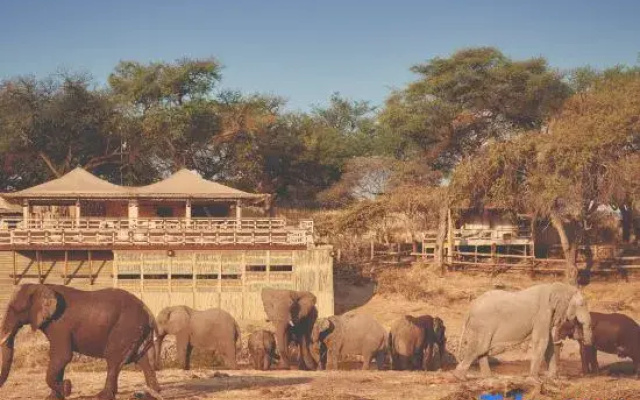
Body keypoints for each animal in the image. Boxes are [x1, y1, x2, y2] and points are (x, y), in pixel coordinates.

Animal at [0, 284, 160, 400]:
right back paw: (153, 393)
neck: (40, 286)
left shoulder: (60, 325)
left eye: (14, 309)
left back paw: (102, 396)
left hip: (126, 326)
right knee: (142, 359)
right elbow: (59, 358)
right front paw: (54, 396)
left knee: (113, 359)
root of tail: (147, 310)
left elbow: (62, 356)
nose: (68, 384)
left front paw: (66, 388)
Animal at [454, 282, 592, 381]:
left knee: (482, 350)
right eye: (582, 304)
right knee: (480, 348)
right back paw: (460, 377)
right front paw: (534, 379)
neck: (558, 286)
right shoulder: (543, 314)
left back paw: (488, 377)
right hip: (483, 325)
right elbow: (541, 341)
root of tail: (470, 307)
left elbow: (549, 344)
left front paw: (552, 378)